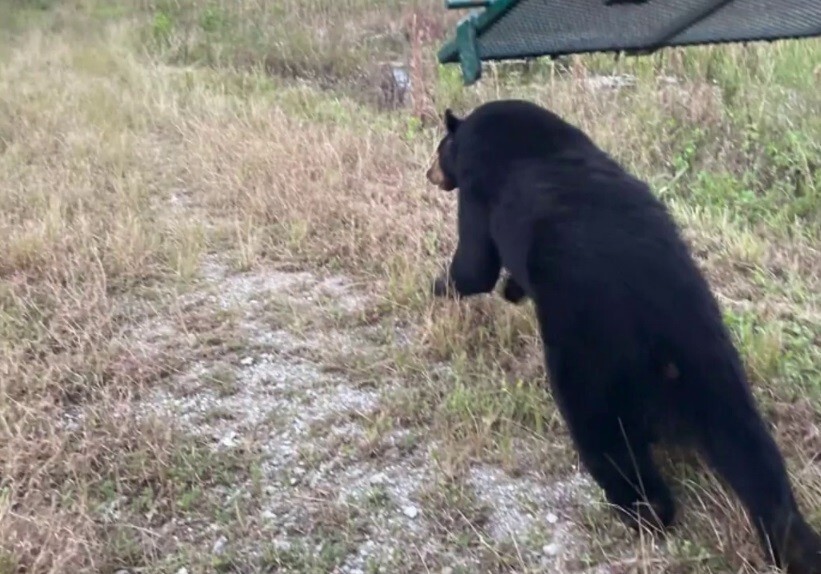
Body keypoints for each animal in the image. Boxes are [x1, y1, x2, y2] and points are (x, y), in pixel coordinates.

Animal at [426, 100, 816, 574]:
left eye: (438, 149)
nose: (430, 173)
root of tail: (661, 334)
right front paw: (511, 290)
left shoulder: (479, 191)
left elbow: (475, 263)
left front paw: (440, 285)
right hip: (713, 360)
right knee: (751, 452)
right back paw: (794, 542)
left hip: (591, 357)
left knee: (604, 436)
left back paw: (645, 511)